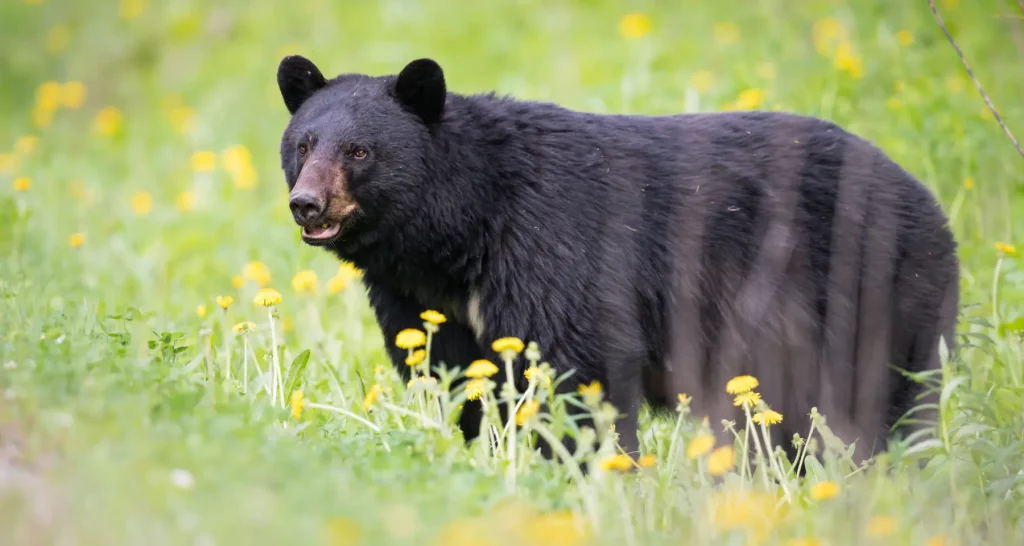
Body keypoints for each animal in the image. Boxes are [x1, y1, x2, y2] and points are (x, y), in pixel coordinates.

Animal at [275, 55, 960, 465]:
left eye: (360, 151)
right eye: (304, 144)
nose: (306, 204)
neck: (460, 231)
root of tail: (930, 200)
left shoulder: (552, 243)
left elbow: (579, 361)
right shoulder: (421, 298)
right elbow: (456, 372)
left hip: (876, 290)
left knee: (882, 398)